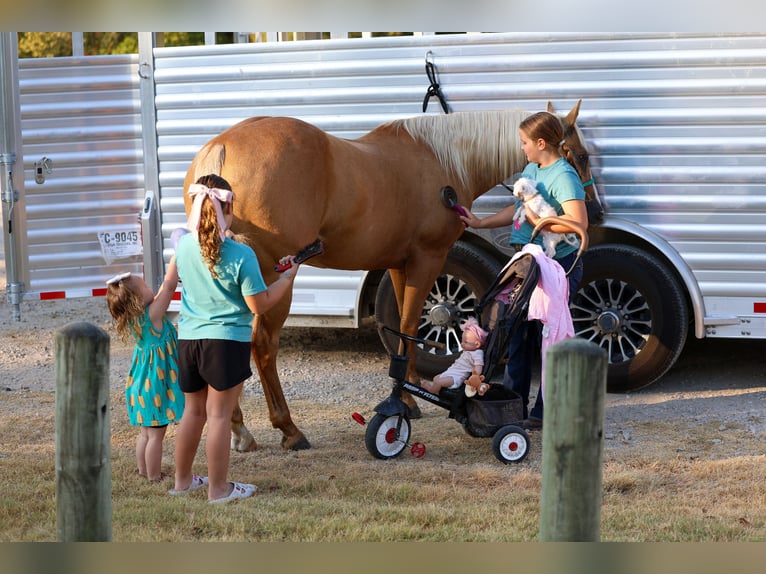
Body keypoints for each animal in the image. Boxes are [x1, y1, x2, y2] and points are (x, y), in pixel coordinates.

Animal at [182, 99, 601, 452]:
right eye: (580, 154)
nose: (593, 212)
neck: (443, 159)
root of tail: (222, 148)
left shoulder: (401, 264)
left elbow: (404, 326)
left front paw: (409, 395)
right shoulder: (428, 258)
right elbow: (413, 322)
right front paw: (403, 402)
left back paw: (240, 430)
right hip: (275, 278)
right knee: (263, 347)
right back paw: (289, 430)